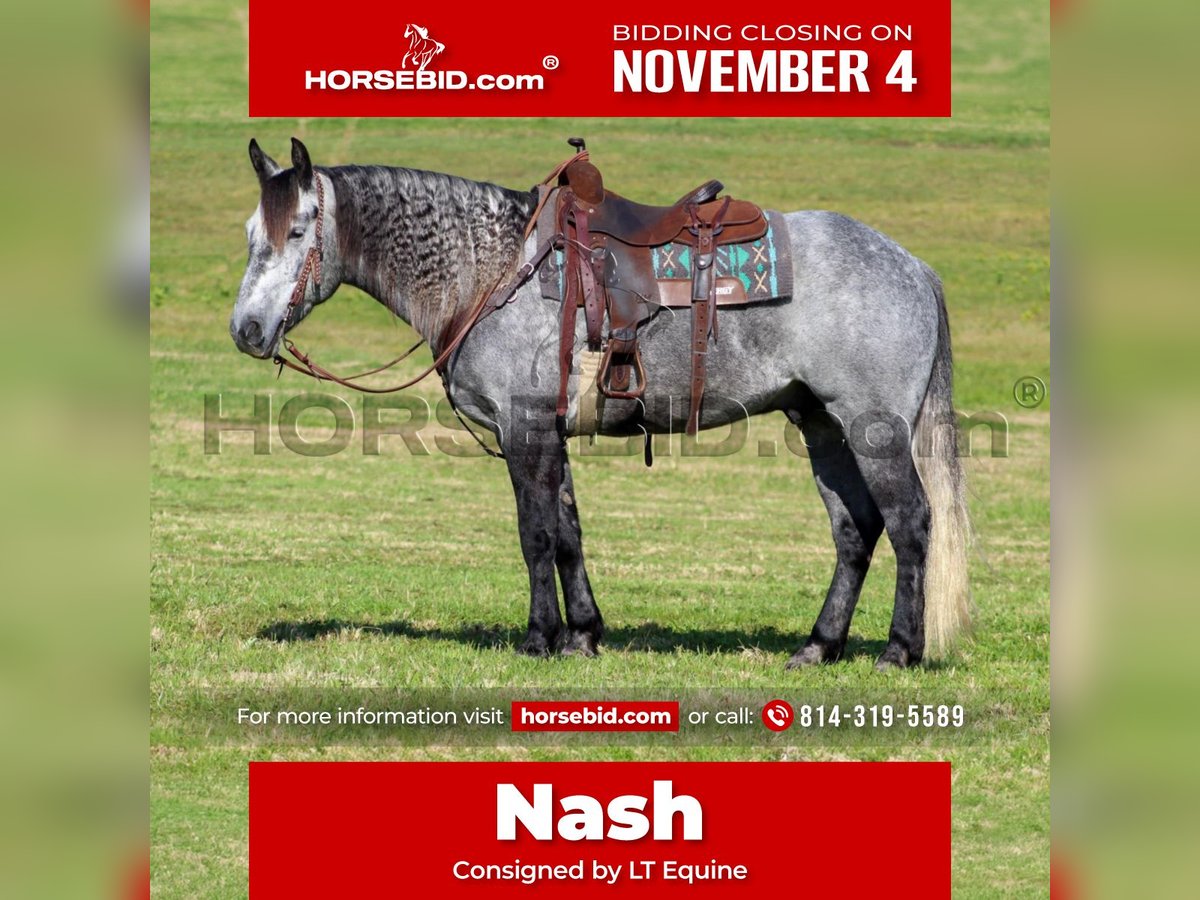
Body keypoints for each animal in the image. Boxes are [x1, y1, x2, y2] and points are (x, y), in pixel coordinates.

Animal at [229, 137, 969, 667]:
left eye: (298, 231)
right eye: (250, 234)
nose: (247, 331)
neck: (492, 269)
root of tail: (913, 266)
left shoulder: (525, 428)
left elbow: (535, 533)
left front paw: (538, 638)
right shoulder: (548, 434)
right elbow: (568, 532)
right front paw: (582, 634)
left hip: (872, 428)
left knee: (909, 522)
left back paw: (900, 650)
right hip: (821, 424)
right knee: (855, 530)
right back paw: (818, 646)